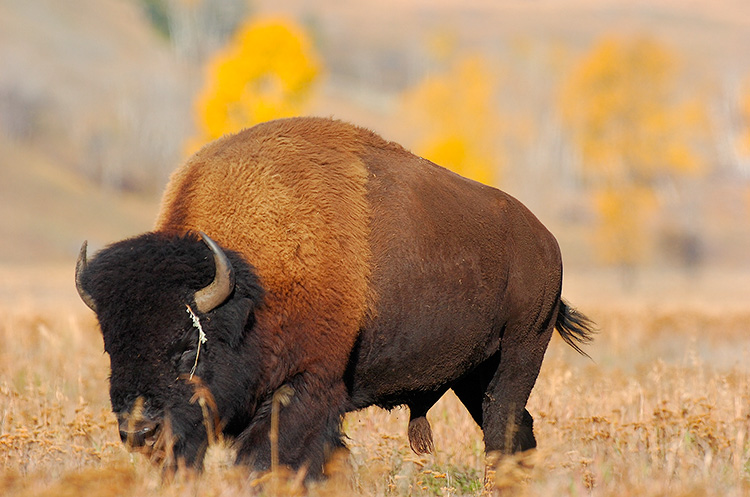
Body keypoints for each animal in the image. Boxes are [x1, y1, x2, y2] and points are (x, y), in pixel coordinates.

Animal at [75, 115, 592, 476]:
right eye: (110, 347)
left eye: (186, 348)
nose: (140, 431)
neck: (249, 289)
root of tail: (546, 242)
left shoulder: (305, 388)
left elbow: (269, 460)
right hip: (471, 372)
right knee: (518, 432)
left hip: (520, 353)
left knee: (503, 429)